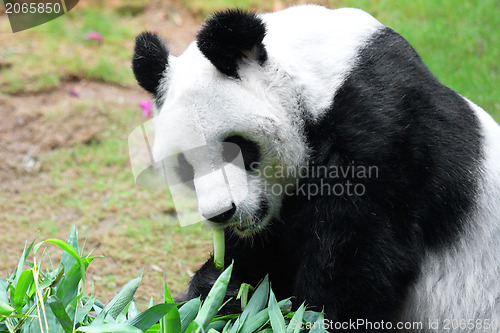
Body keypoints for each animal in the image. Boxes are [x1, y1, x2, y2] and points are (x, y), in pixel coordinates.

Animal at [132, 3, 500, 330]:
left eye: (233, 148)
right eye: (184, 166)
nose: (221, 213)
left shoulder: (384, 132)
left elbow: (358, 259)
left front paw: (305, 318)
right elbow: (262, 260)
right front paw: (216, 293)